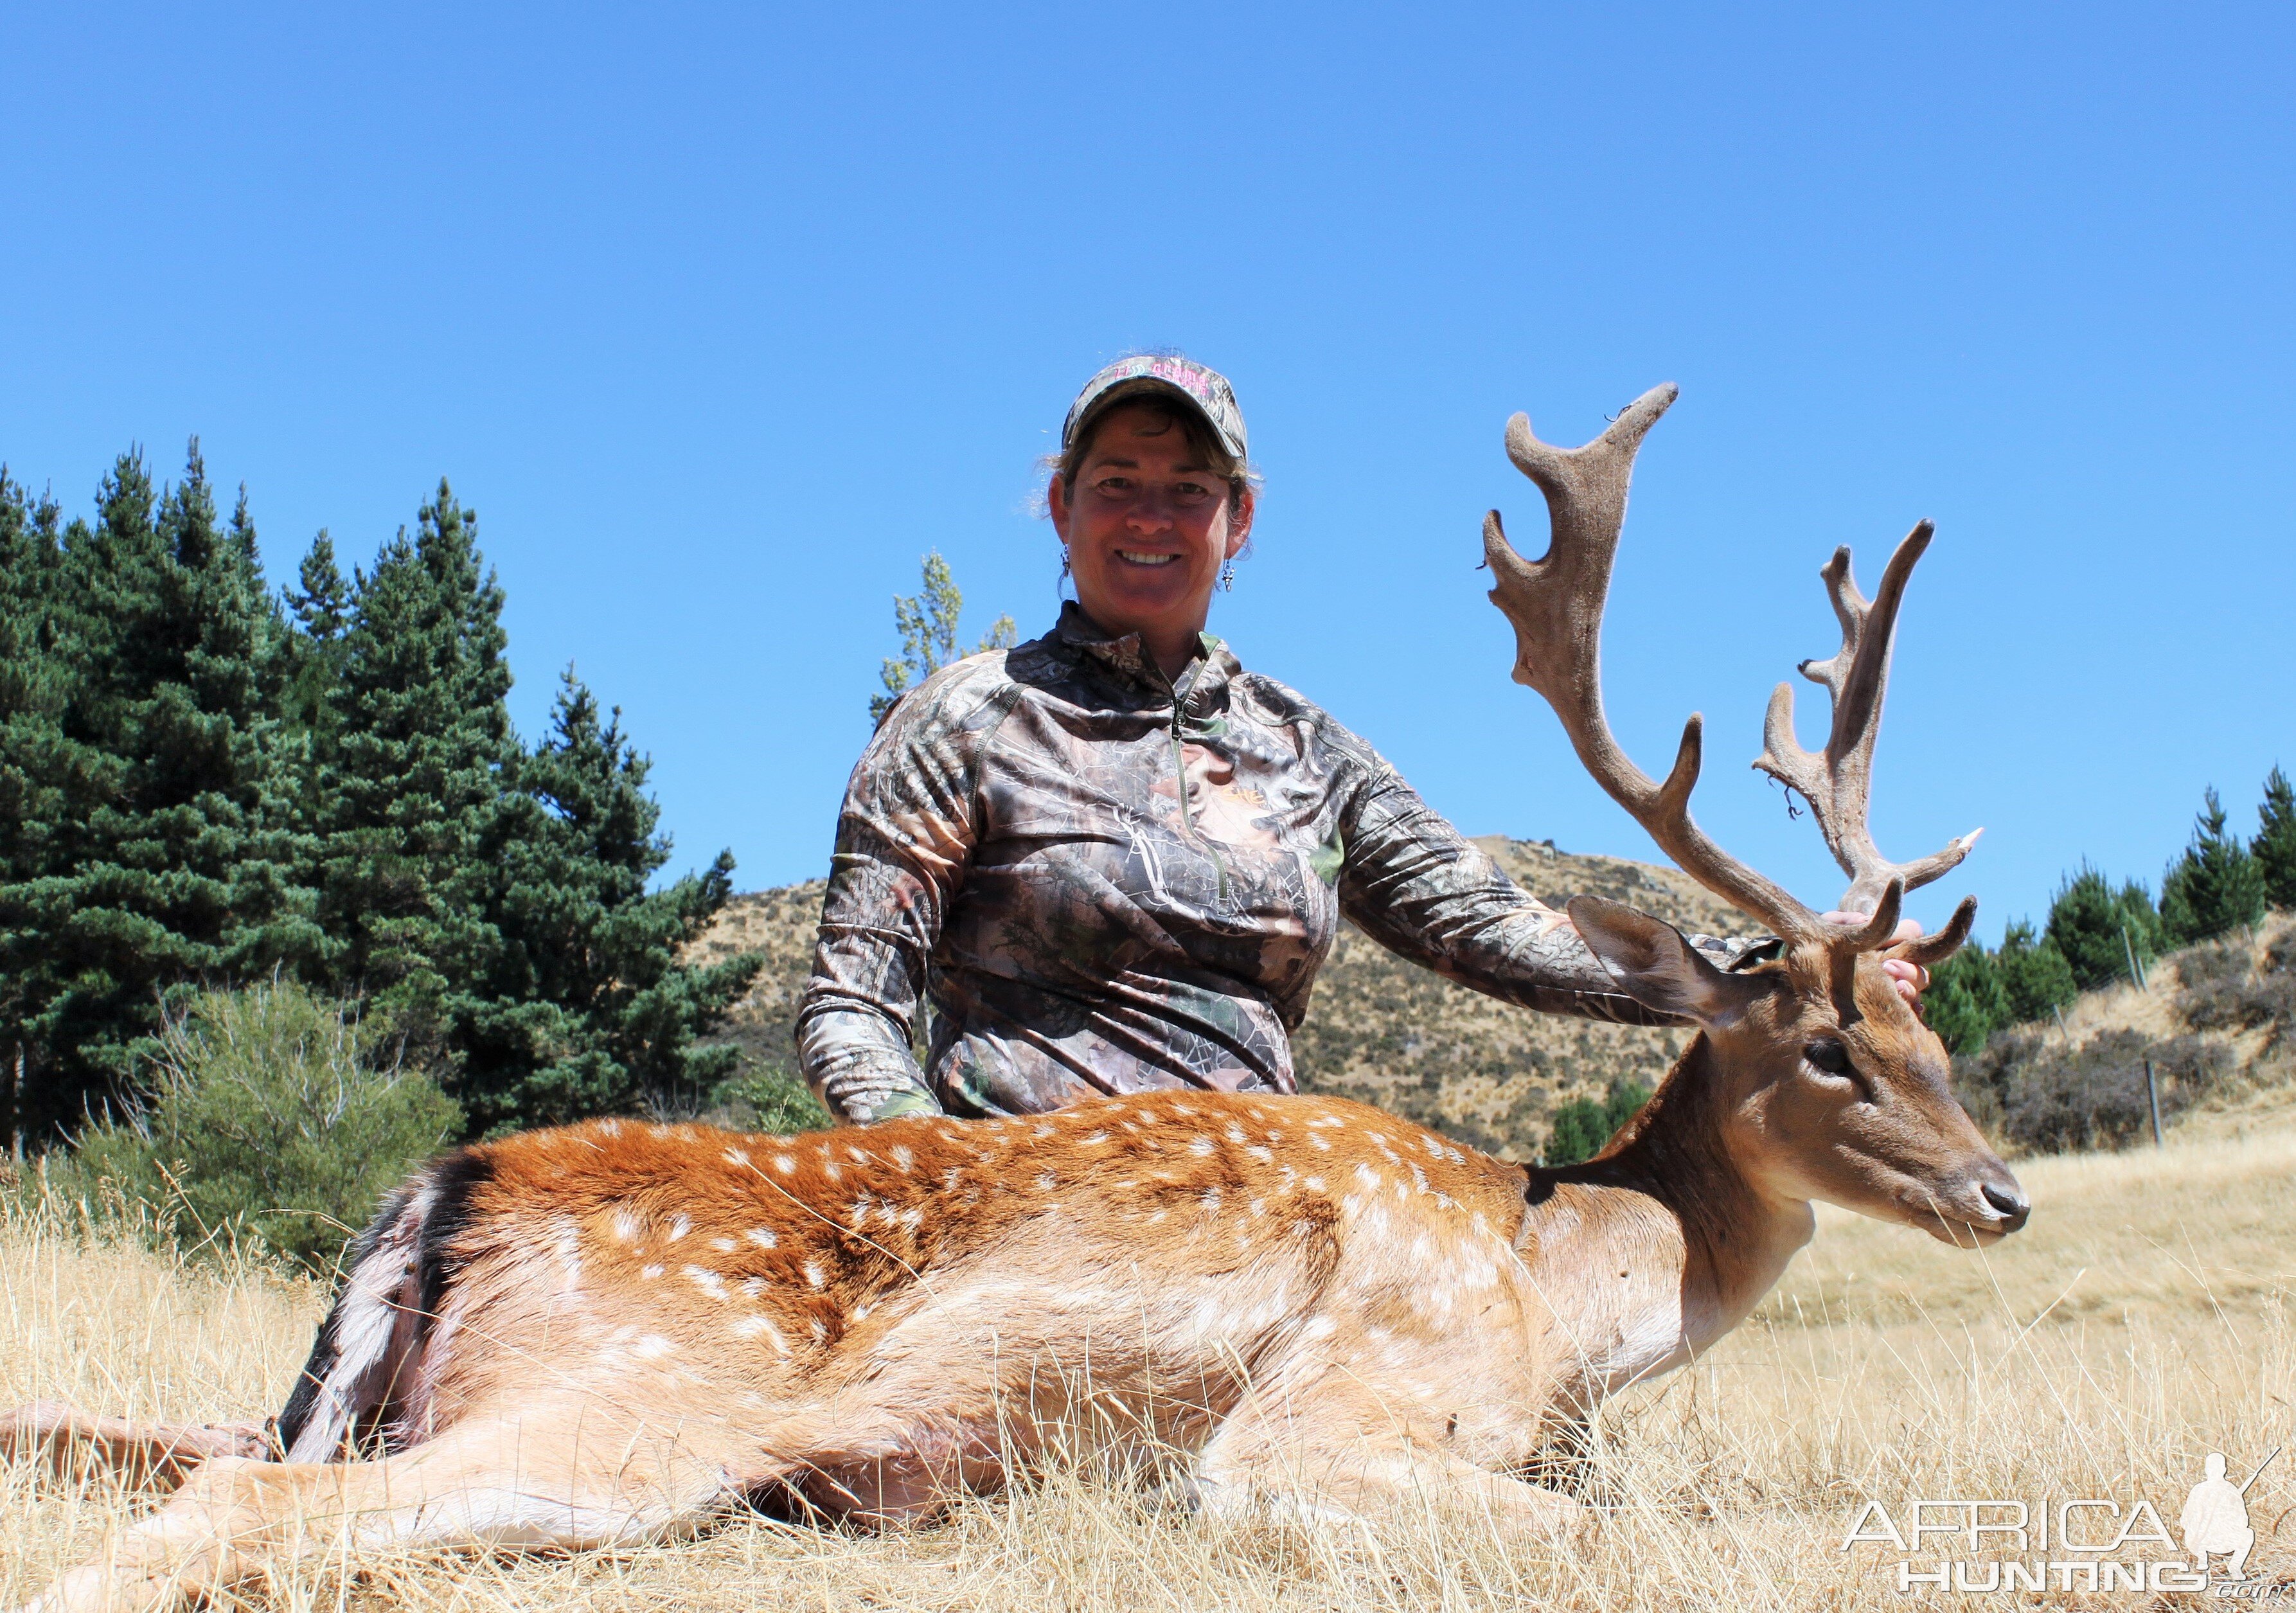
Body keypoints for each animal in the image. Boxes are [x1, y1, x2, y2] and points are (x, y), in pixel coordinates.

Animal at [13, 386, 2029, 1608]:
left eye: (1934, 1028)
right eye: (1829, 1045)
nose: (2001, 1190)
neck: (1551, 1286)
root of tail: (451, 1186)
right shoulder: (1320, 1417)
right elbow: (1606, 1527)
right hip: (642, 1395)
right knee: (231, 1510)